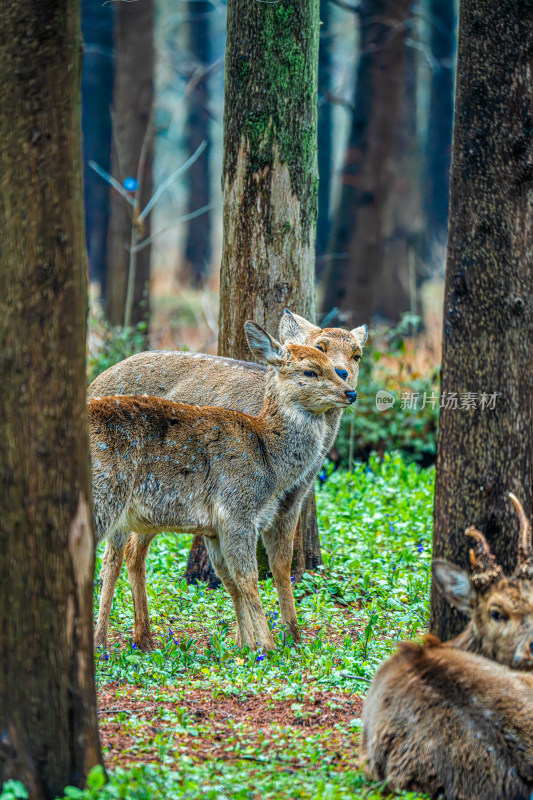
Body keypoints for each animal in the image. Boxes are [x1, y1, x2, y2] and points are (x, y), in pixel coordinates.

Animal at [90, 306, 366, 648]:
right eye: (313, 364)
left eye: (357, 354)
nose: (349, 389)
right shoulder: (237, 510)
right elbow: (248, 578)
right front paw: (267, 645)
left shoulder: (274, 508)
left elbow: (264, 570)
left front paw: (273, 639)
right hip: (108, 498)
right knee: (110, 556)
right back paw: (106, 641)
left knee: (125, 554)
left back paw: (138, 639)